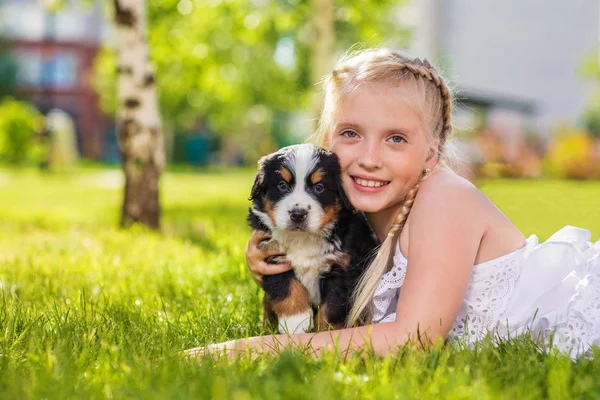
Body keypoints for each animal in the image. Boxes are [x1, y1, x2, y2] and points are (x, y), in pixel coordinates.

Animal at [247, 144, 378, 334]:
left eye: (319, 187)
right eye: (282, 185)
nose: (298, 214)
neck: (303, 238)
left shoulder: (342, 267)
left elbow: (332, 307)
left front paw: (329, 333)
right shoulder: (272, 256)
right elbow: (287, 287)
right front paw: (295, 322)